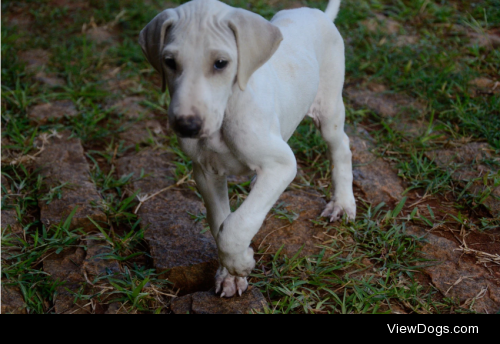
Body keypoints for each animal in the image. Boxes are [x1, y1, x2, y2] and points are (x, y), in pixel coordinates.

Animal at [140, 0, 356, 296]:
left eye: (221, 63)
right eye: (169, 62)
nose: (187, 126)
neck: (227, 112)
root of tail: (319, 14)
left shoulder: (282, 165)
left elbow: (235, 226)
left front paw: (241, 264)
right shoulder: (206, 173)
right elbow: (220, 223)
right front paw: (230, 274)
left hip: (329, 109)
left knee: (341, 147)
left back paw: (343, 203)